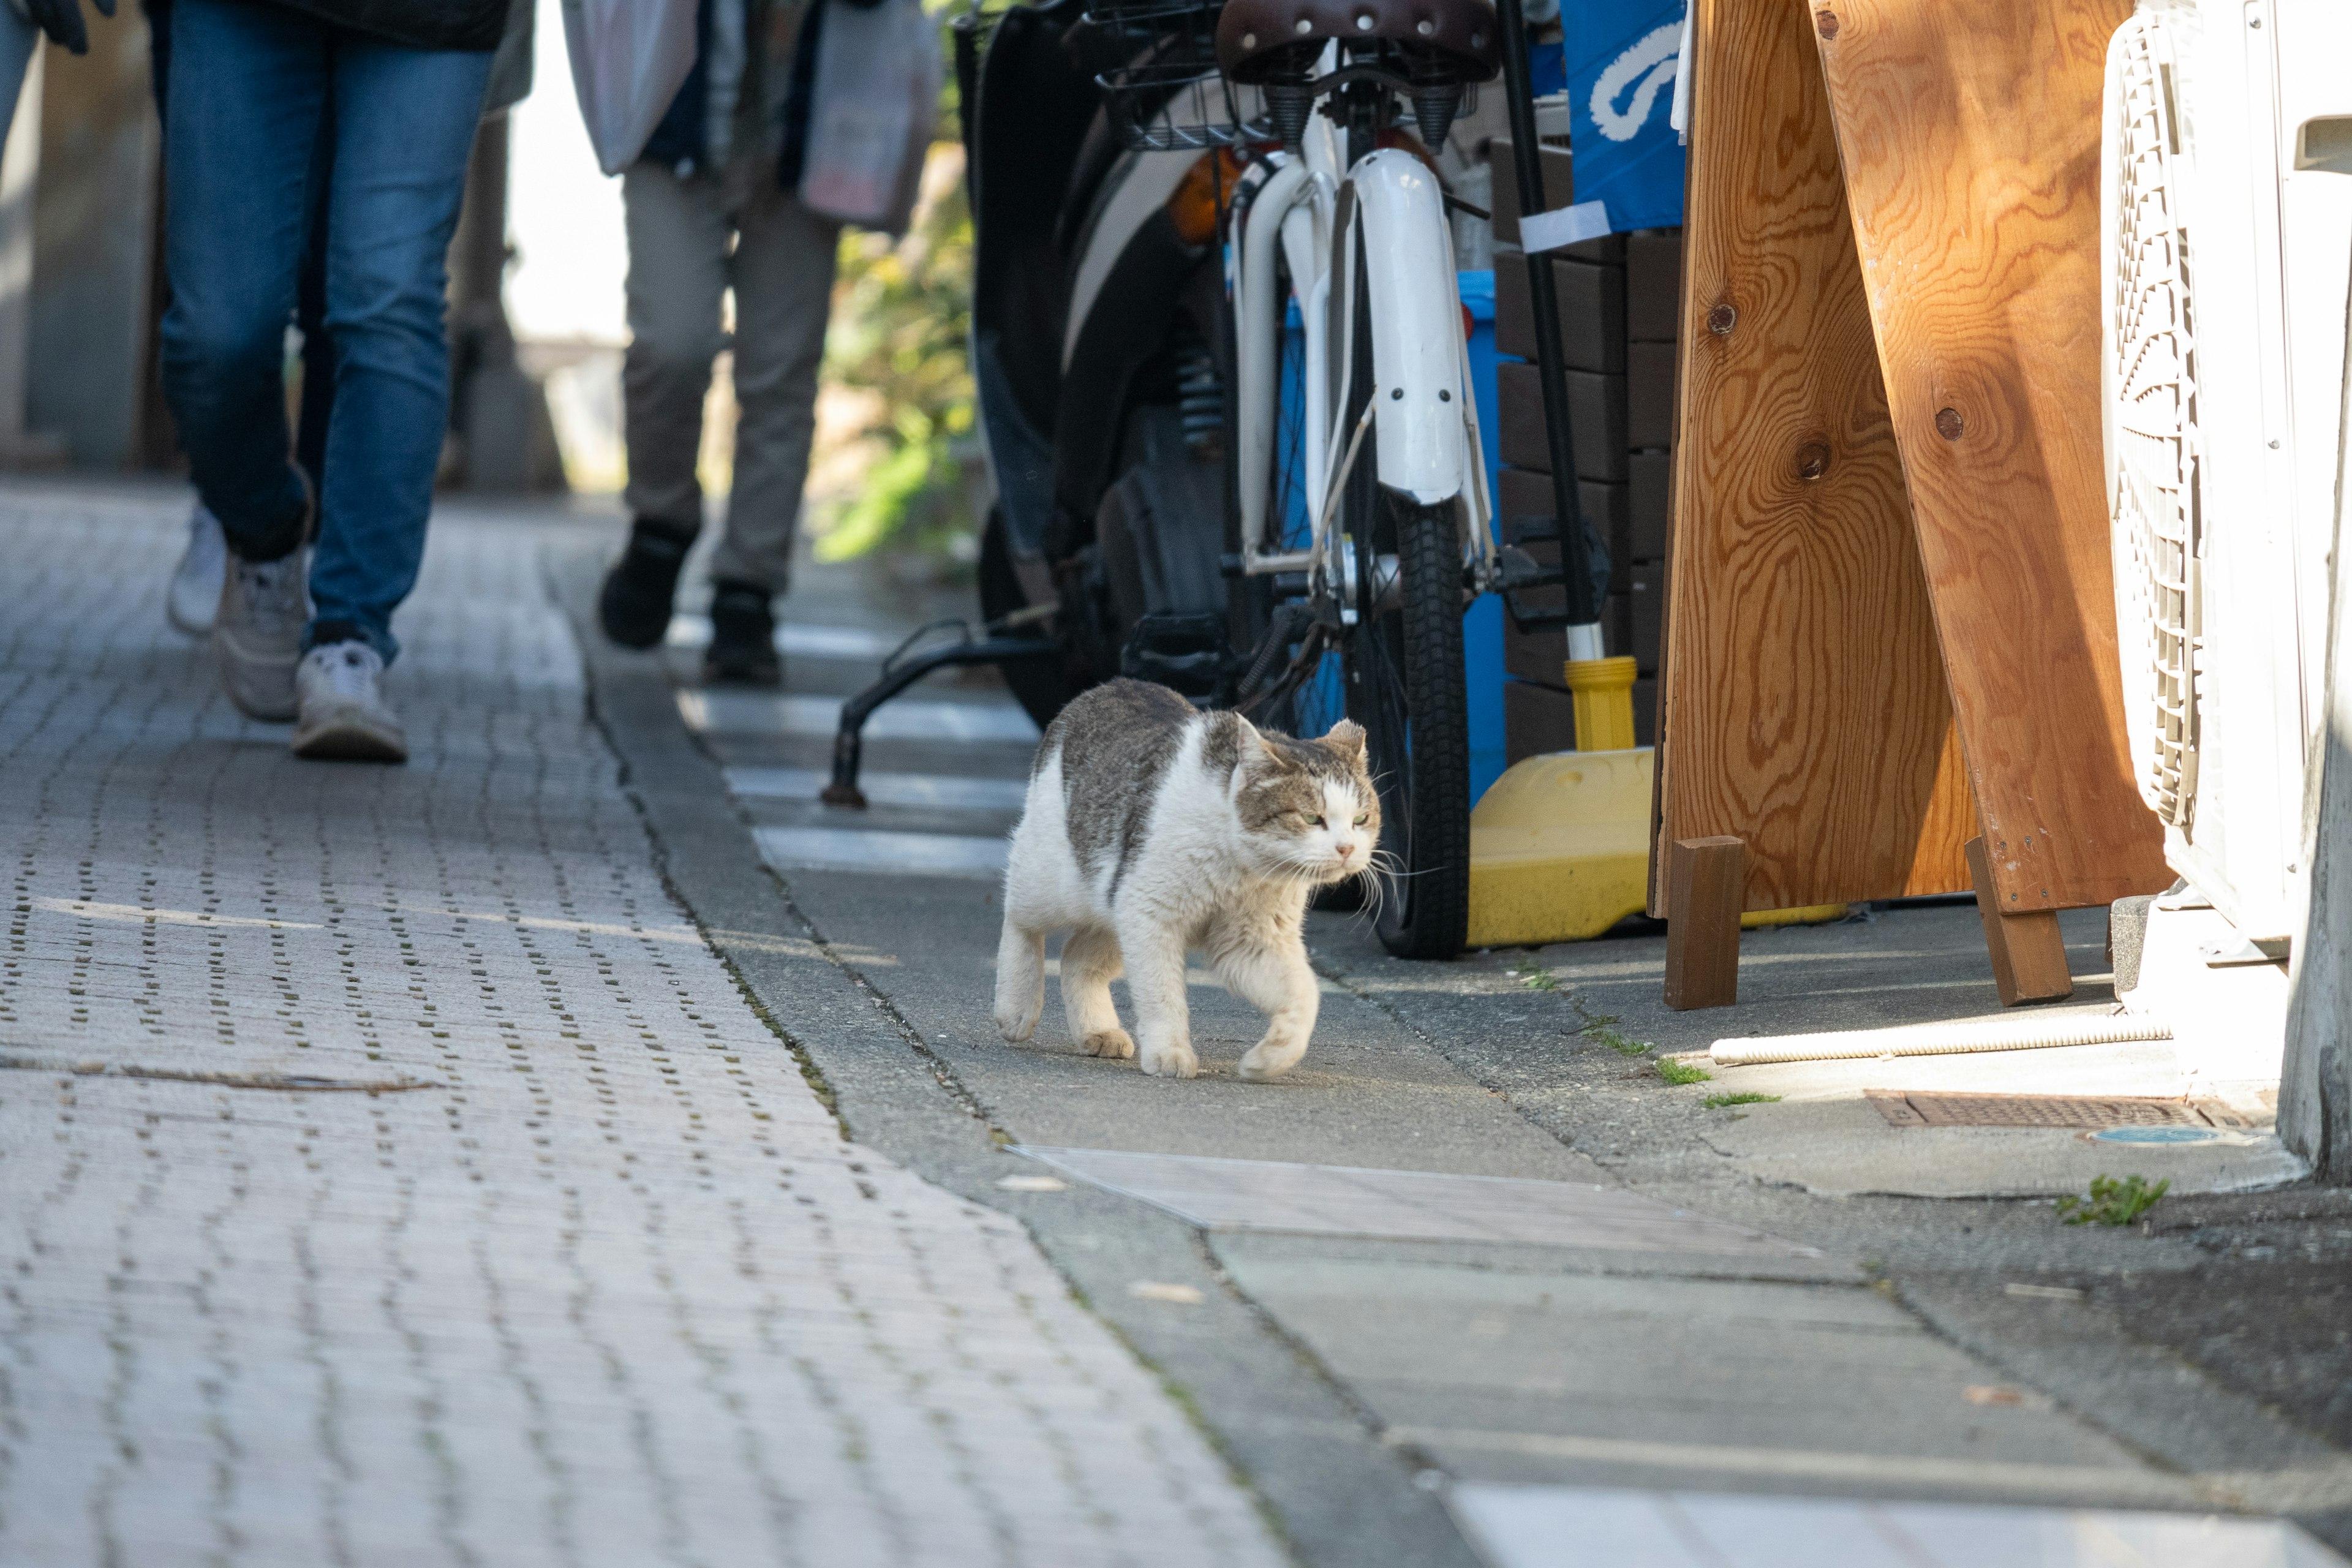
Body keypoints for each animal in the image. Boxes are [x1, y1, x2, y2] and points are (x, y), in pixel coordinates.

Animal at [992, 682, 1373, 1086]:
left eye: (1361, 819)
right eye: (1312, 818)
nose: (1346, 848)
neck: (1241, 866)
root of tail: (1109, 686)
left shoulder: (1248, 941)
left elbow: (1304, 996)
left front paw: (1269, 1059)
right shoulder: (1151, 916)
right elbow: (1162, 995)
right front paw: (1170, 1052)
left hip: (1115, 907)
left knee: (1076, 957)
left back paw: (1098, 1031)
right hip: (1055, 881)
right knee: (1020, 920)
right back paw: (1016, 1007)